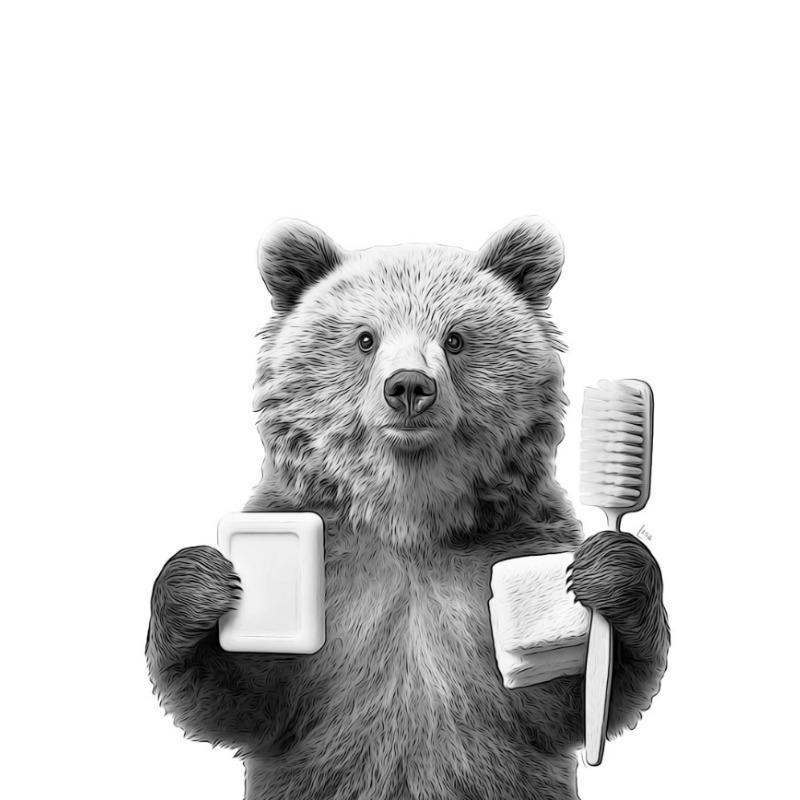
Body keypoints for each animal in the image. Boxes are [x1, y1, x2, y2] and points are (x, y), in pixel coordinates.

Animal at [146, 217, 669, 800]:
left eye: (456, 338)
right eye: (365, 337)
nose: (410, 386)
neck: (409, 520)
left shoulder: (508, 548)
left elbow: (567, 697)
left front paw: (613, 570)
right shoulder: (339, 575)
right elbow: (254, 697)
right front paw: (201, 582)